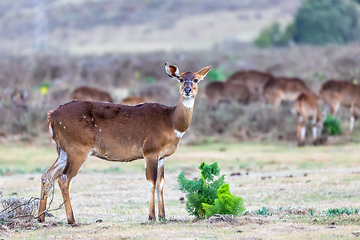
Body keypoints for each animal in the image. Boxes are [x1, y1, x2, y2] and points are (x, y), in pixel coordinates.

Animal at [37, 62, 211, 225]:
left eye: (196, 79)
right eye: (181, 79)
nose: (187, 89)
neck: (171, 121)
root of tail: (51, 116)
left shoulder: (162, 156)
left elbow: (161, 183)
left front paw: (163, 216)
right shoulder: (150, 151)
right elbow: (151, 182)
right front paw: (151, 217)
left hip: (63, 150)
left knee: (47, 175)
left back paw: (41, 218)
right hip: (77, 149)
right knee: (64, 178)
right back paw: (72, 220)